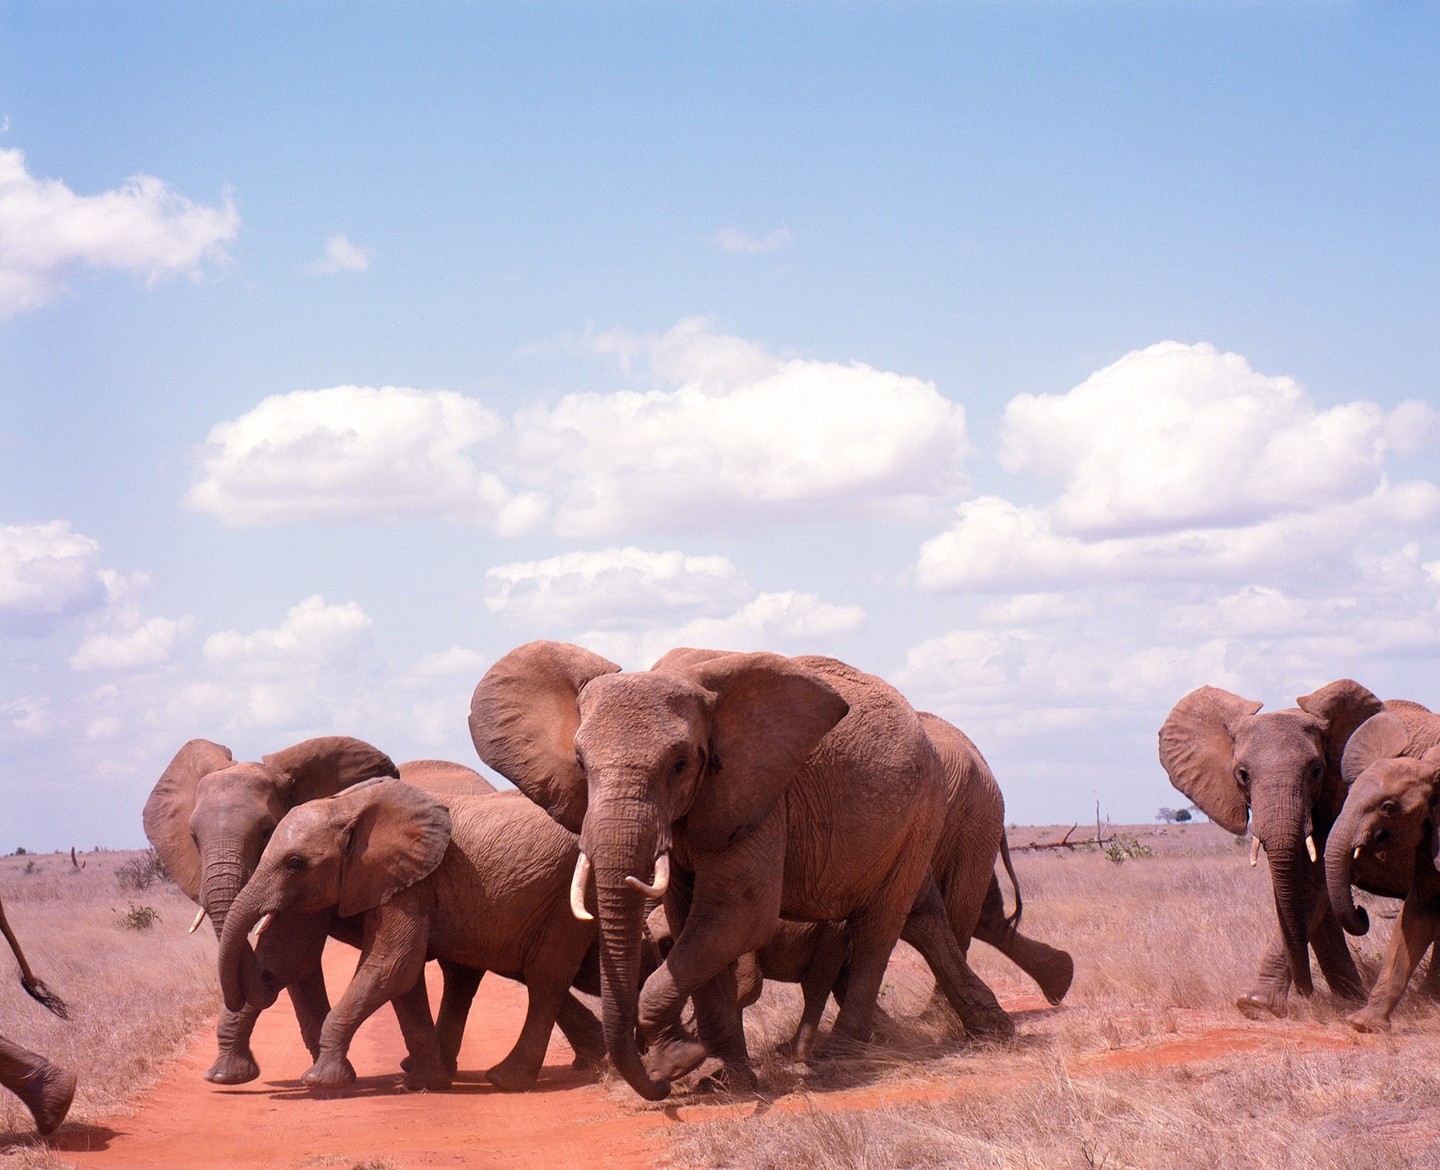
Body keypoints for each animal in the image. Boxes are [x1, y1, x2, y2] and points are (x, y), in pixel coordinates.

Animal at [142, 737, 484, 1084]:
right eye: (194, 838)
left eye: (267, 831)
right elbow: (296, 964)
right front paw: (230, 1077)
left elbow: (288, 955)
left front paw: (233, 1076)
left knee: (458, 974)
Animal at [218, 780, 604, 1093]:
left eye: (295, 864)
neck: (349, 805)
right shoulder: (389, 880)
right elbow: (400, 977)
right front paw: (425, 1083)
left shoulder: (412, 883)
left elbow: (393, 965)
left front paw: (320, 1082)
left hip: (567, 897)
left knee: (544, 978)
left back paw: (506, 1080)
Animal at [468, 641, 1015, 1101]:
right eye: (580, 764)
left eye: (681, 764)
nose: (658, 1089)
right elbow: (693, 923)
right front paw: (724, 1078)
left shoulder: (759, 795)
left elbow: (737, 916)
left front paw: (679, 1060)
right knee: (923, 915)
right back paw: (994, 1030)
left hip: (923, 810)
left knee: (878, 927)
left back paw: (838, 1059)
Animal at [1158, 679, 1402, 1018]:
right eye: (1242, 774)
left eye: (1316, 771)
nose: (1306, 992)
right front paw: (1349, 999)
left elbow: (1314, 885)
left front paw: (1257, 1005)